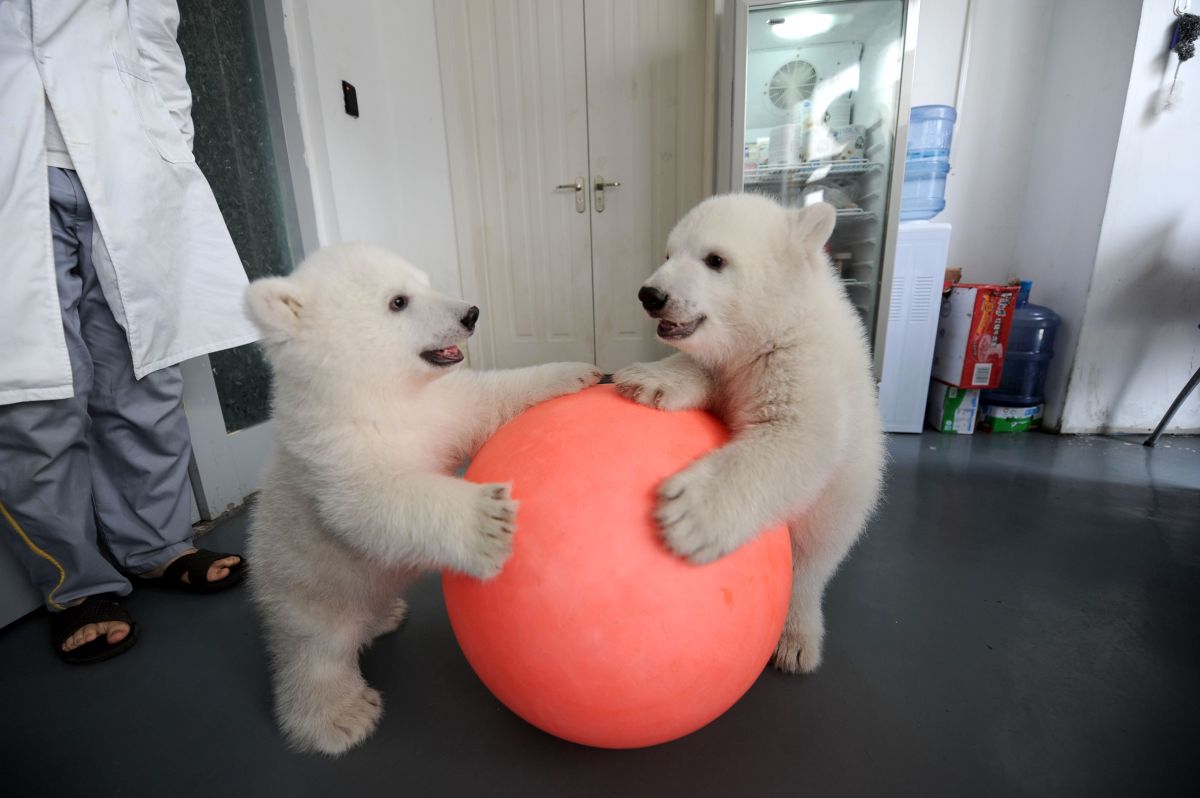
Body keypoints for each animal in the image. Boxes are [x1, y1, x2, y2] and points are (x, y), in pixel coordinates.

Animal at [244, 244, 600, 755]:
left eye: (425, 281)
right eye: (398, 301)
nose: (470, 313)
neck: (374, 397)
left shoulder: (439, 408)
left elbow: (483, 401)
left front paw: (573, 371)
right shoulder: (334, 452)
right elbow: (374, 501)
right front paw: (487, 520)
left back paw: (387, 615)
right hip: (305, 586)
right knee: (315, 652)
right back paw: (338, 719)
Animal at [613, 194, 885, 675]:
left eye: (715, 259)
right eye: (668, 253)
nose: (652, 295)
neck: (776, 326)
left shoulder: (805, 366)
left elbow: (799, 438)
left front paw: (689, 514)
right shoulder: (730, 362)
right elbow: (701, 367)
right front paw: (647, 380)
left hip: (845, 497)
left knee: (814, 559)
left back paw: (796, 639)